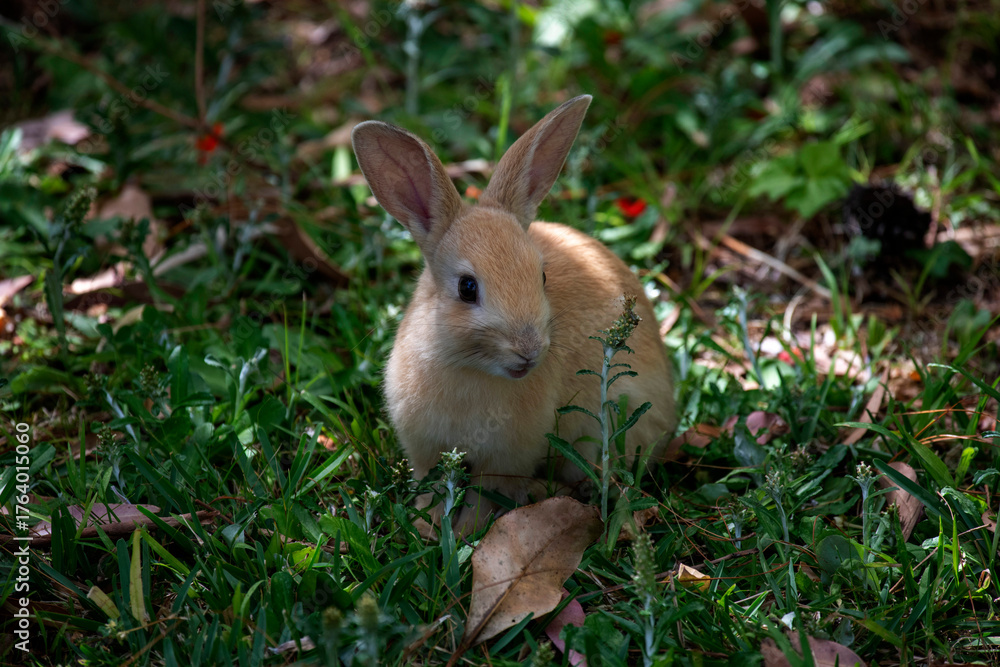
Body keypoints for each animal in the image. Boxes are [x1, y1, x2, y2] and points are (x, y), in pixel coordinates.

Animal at [352, 95, 676, 535]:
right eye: (466, 288)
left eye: (542, 276)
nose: (529, 351)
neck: (470, 368)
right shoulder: (425, 449)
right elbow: (429, 488)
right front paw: (429, 529)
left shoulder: (508, 458)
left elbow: (485, 496)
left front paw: (465, 532)